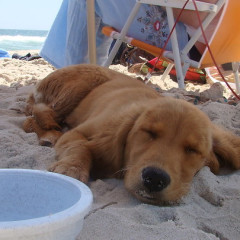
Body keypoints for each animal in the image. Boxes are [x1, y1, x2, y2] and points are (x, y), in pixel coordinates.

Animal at [23, 63, 240, 204]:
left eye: (192, 150)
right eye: (148, 132)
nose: (155, 178)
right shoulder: (79, 132)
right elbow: (81, 145)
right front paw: (71, 168)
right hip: (82, 84)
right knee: (37, 114)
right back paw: (49, 134)